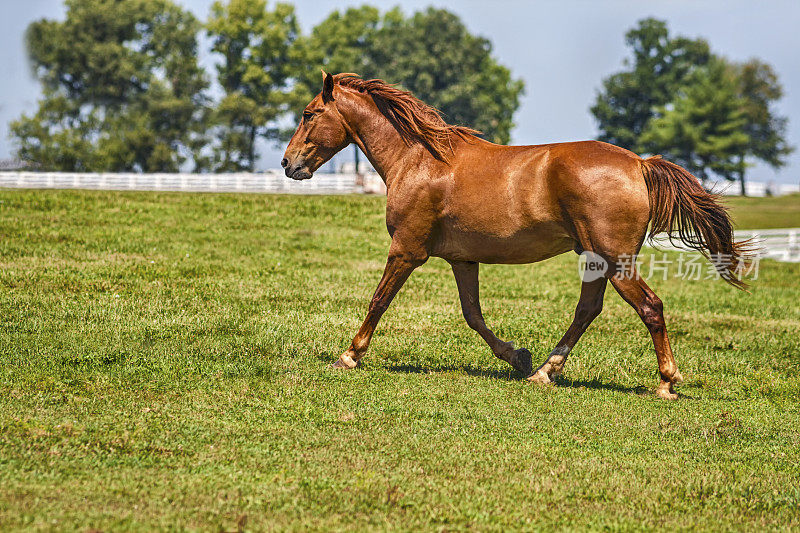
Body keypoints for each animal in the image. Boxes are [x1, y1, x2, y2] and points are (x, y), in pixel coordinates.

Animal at [282, 71, 752, 400]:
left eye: (309, 113)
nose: (289, 164)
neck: (418, 160)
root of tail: (639, 163)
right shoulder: (462, 260)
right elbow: (473, 315)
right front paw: (517, 357)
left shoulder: (406, 251)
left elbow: (378, 301)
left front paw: (349, 355)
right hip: (596, 260)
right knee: (587, 311)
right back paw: (544, 372)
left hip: (617, 262)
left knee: (650, 307)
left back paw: (666, 382)